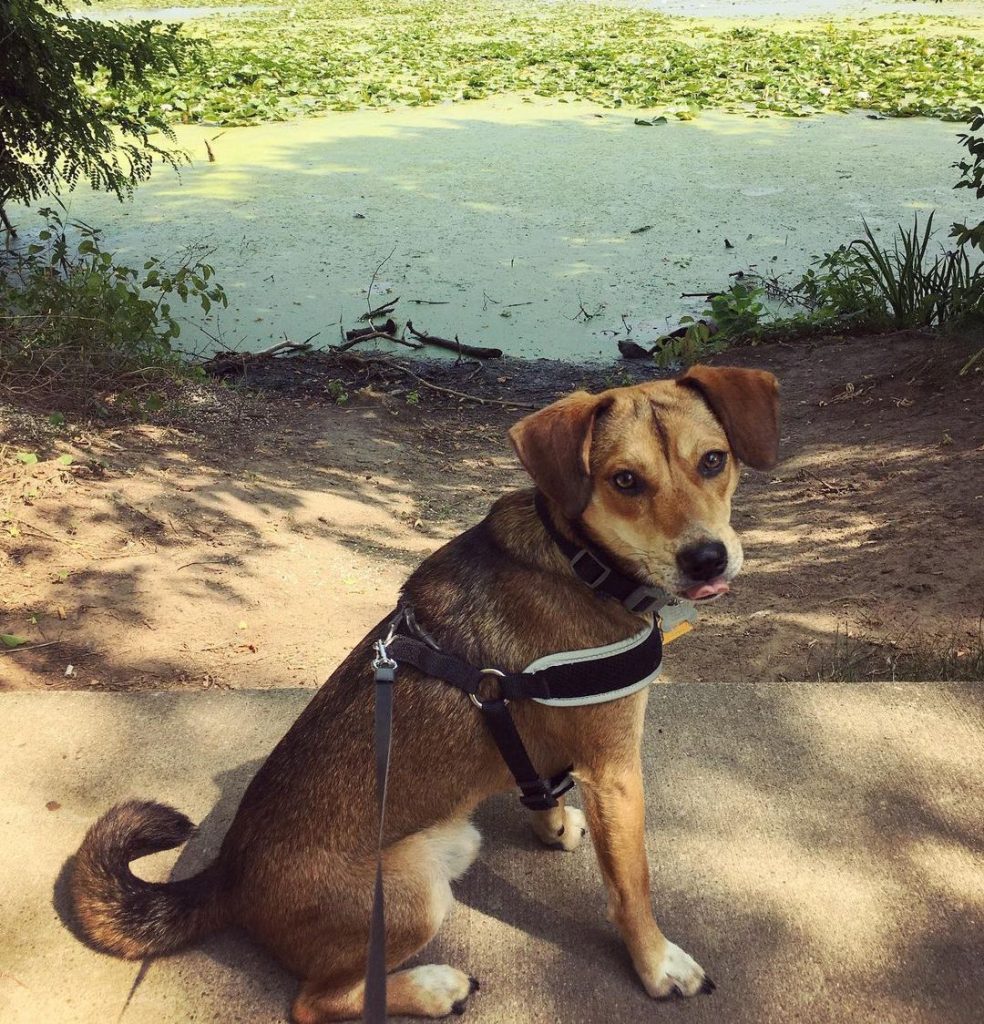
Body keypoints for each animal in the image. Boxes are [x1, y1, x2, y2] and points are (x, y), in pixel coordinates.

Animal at [69, 364, 778, 1019]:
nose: (707, 558)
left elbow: (539, 782)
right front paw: (659, 966)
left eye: (713, 460)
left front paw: (552, 823)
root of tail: (227, 876)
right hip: (413, 887)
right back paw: (436, 987)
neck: (580, 561)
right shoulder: (615, 771)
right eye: (625, 481)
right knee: (316, 1001)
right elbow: (632, 886)